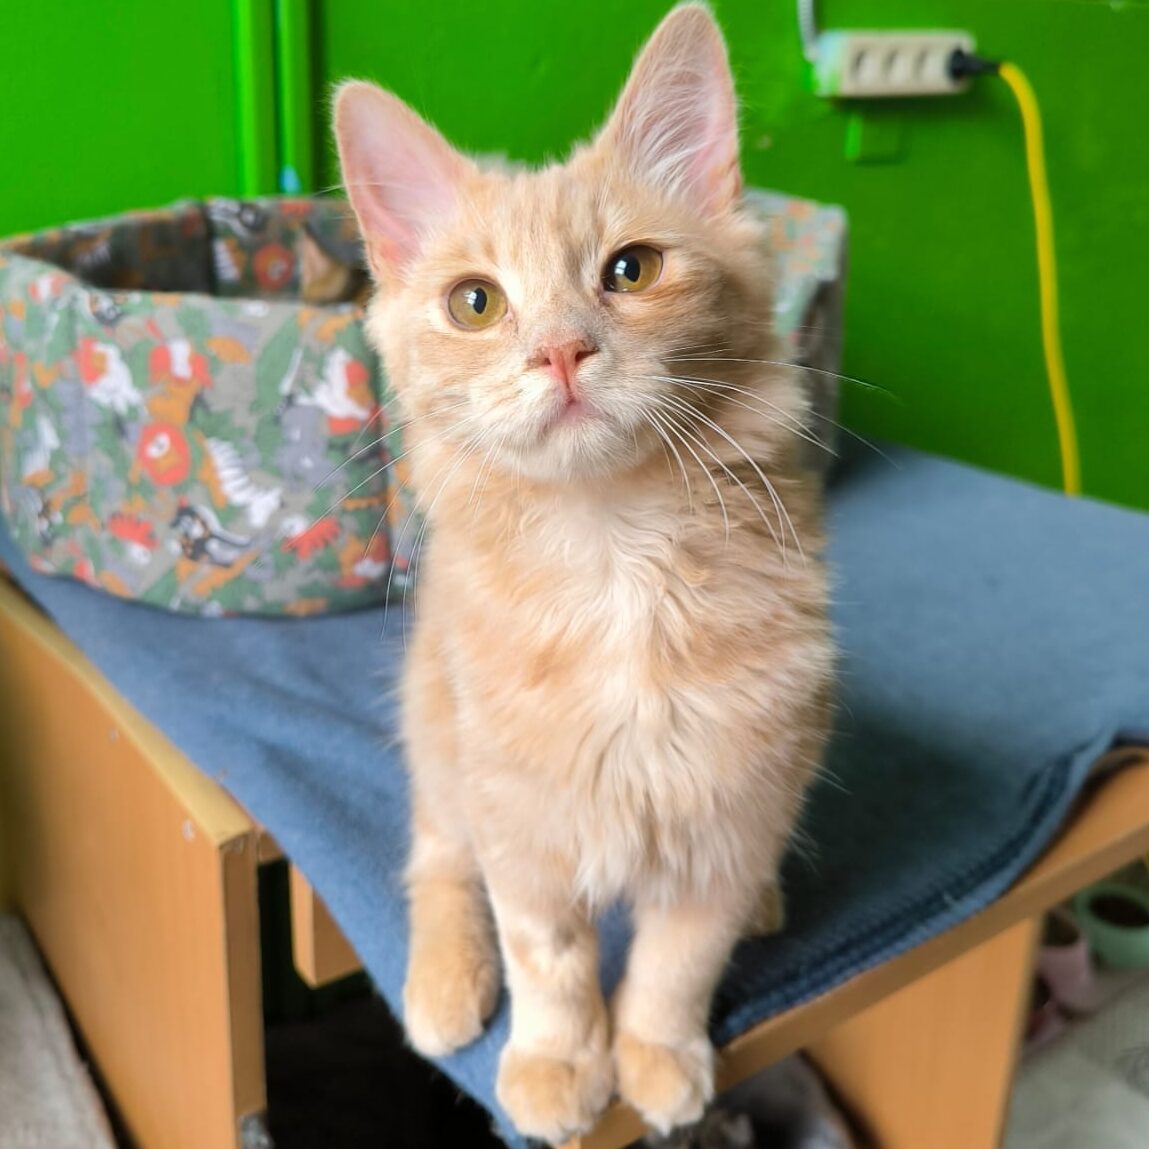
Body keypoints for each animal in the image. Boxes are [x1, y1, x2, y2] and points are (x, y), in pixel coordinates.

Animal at [335, 6, 831, 1139]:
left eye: (632, 271)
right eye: (475, 303)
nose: (561, 352)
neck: (616, 561)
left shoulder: (729, 811)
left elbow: (677, 963)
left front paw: (657, 1056)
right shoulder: (521, 823)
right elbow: (549, 961)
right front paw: (561, 1066)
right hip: (436, 732)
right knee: (436, 861)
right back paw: (443, 986)